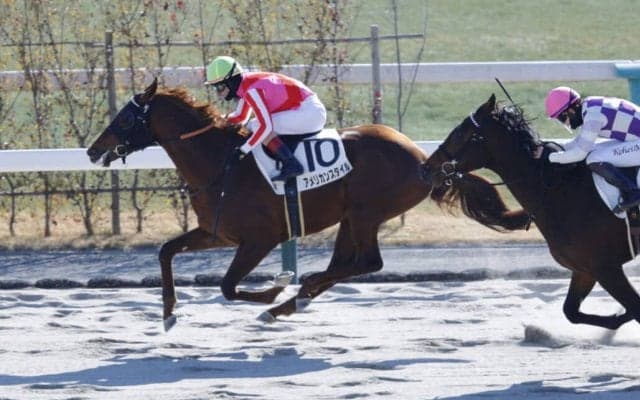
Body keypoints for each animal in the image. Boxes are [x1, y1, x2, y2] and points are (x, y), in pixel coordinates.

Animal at [87, 78, 435, 330]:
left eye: (126, 117)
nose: (92, 151)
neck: (220, 165)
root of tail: (422, 158)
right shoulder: (217, 232)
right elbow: (166, 251)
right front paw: (169, 313)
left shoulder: (260, 239)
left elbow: (228, 286)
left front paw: (275, 288)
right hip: (349, 217)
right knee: (342, 265)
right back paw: (296, 300)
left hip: (366, 213)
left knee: (368, 263)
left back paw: (295, 295)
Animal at [421, 93, 640, 330]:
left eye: (460, 133)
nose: (425, 168)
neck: (557, 190)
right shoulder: (585, 269)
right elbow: (571, 312)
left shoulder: (606, 267)